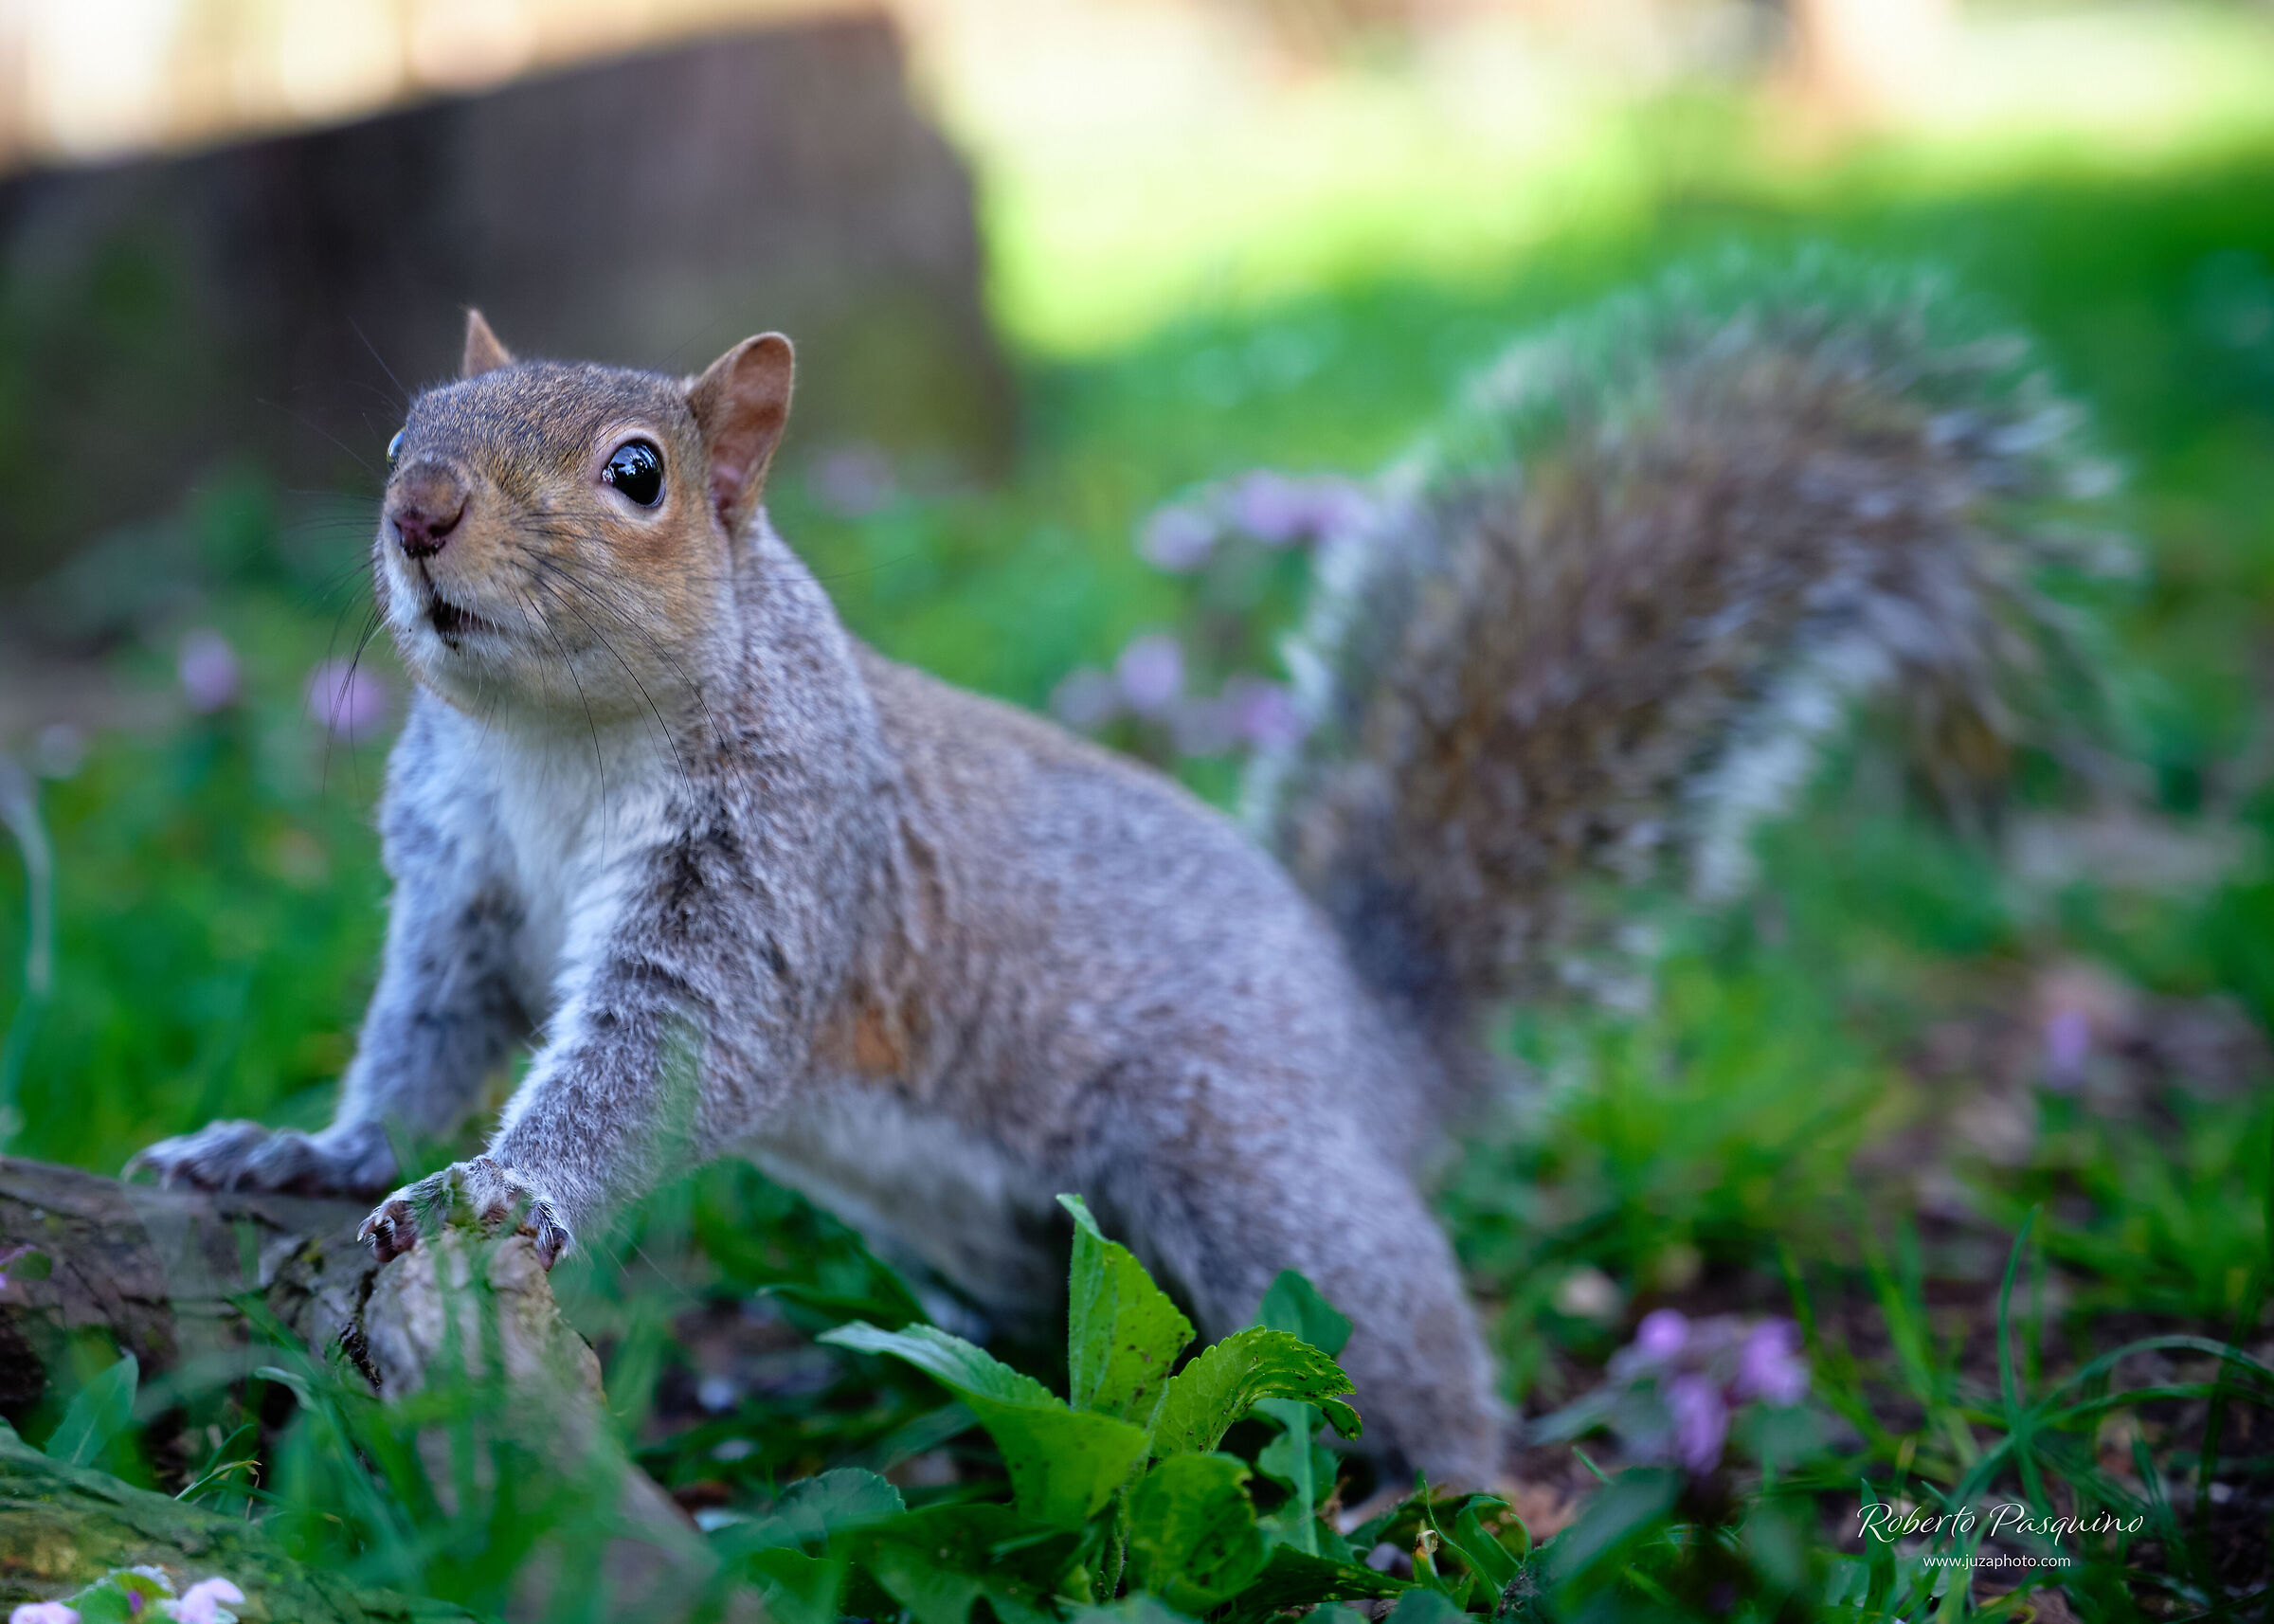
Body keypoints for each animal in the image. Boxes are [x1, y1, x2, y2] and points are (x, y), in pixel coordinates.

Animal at [131, 253, 2105, 1489]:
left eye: (640, 474)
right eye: (407, 428)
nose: (418, 515)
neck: (555, 742)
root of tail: (1373, 1041)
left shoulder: (775, 861)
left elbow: (670, 1057)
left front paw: (505, 1185)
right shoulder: (461, 883)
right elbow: (421, 1033)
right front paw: (302, 1147)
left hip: (1234, 1158)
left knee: (1387, 1324)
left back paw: (1456, 1489)